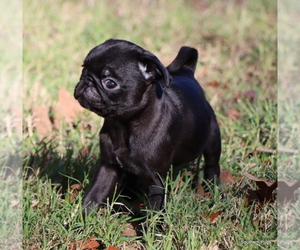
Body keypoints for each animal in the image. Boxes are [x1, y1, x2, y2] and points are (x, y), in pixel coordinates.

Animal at [74, 39, 221, 213]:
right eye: (84, 69)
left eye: (110, 83)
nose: (87, 81)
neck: (123, 124)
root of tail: (187, 72)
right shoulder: (108, 166)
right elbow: (95, 194)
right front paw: (83, 216)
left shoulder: (156, 180)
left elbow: (155, 208)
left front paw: (154, 222)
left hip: (213, 139)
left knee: (212, 165)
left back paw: (213, 189)